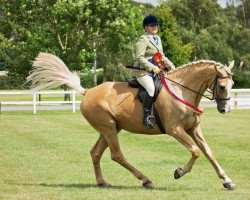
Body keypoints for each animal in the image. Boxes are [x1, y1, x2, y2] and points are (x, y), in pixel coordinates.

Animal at [26, 52, 235, 190]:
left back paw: (102, 182)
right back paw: (146, 180)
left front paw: (227, 180)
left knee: (95, 153)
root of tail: (88, 91)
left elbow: (208, 152)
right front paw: (179, 172)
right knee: (116, 155)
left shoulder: (193, 129)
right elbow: (195, 151)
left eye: (232, 85)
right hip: (109, 128)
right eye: (222, 86)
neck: (181, 90)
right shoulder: (175, 130)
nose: (225, 109)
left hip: (111, 128)